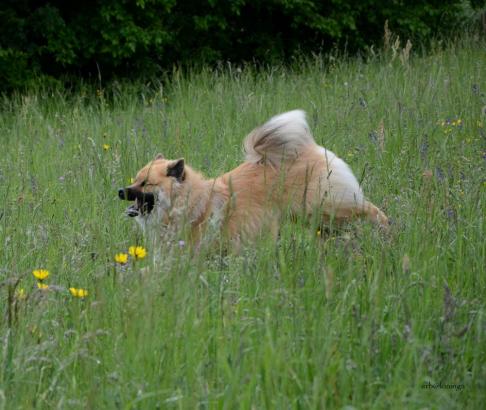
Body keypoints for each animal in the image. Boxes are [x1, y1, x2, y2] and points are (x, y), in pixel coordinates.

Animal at [119, 109, 390, 247]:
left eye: (146, 183)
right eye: (135, 180)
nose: (121, 191)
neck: (192, 203)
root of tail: (305, 148)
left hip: (323, 206)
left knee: (369, 209)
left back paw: (387, 230)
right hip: (317, 217)